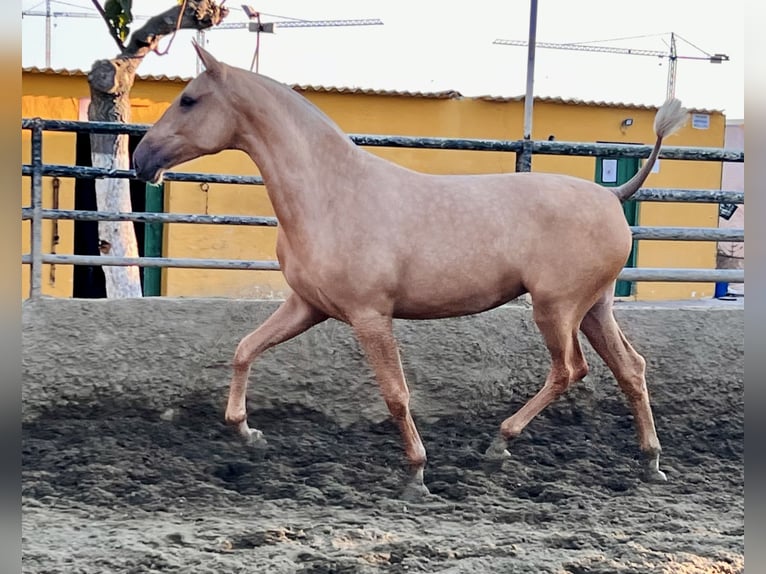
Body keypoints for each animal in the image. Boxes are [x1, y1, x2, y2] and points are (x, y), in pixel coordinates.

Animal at [135, 41, 692, 500]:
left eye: (189, 100)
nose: (142, 159)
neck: (331, 194)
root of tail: (613, 194)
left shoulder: (369, 316)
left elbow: (396, 395)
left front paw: (416, 476)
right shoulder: (307, 307)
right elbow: (244, 349)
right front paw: (248, 433)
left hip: (556, 308)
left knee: (570, 370)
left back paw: (499, 443)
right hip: (594, 307)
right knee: (631, 369)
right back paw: (651, 463)